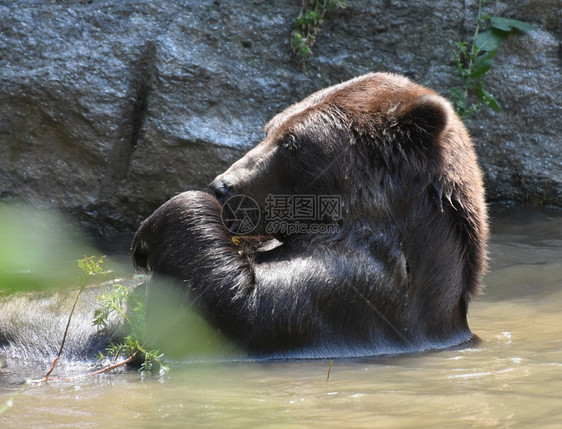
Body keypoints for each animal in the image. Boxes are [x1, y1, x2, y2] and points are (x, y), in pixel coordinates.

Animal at [132, 71, 486, 358]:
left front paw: (156, 226)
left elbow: (237, 308)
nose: (222, 186)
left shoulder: (354, 289)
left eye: (292, 143)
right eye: (269, 129)